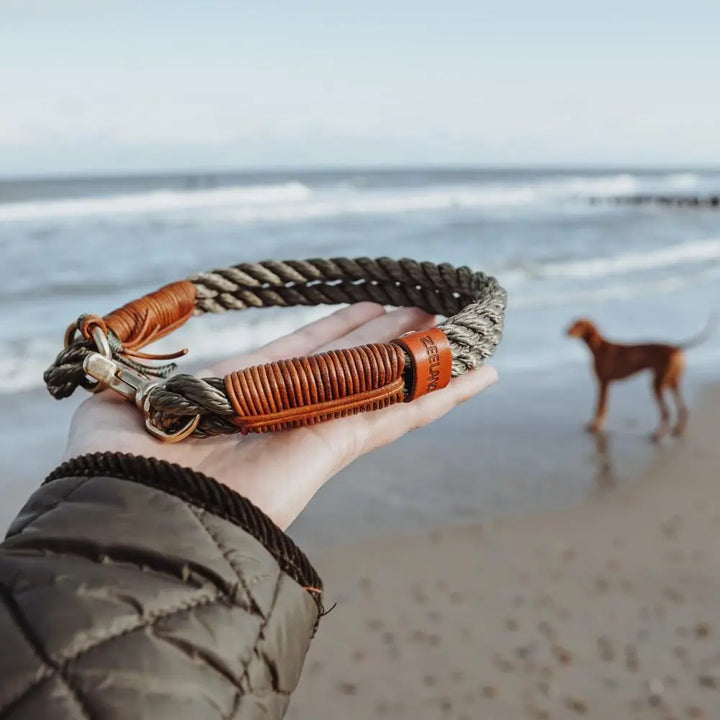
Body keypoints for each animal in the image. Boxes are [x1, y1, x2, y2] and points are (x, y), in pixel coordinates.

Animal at [568, 320, 716, 442]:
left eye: (578, 324)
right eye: (572, 323)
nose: (566, 331)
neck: (600, 348)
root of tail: (675, 347)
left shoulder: (603, 383)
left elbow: (600, 407)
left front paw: (595, 426)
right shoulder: (605, 384)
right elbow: (600, 406)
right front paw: (593, 425)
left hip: (658, 384)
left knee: (666, 412)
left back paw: (658, 435)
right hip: (672, 383)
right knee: (683, 407)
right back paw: (678, 430)